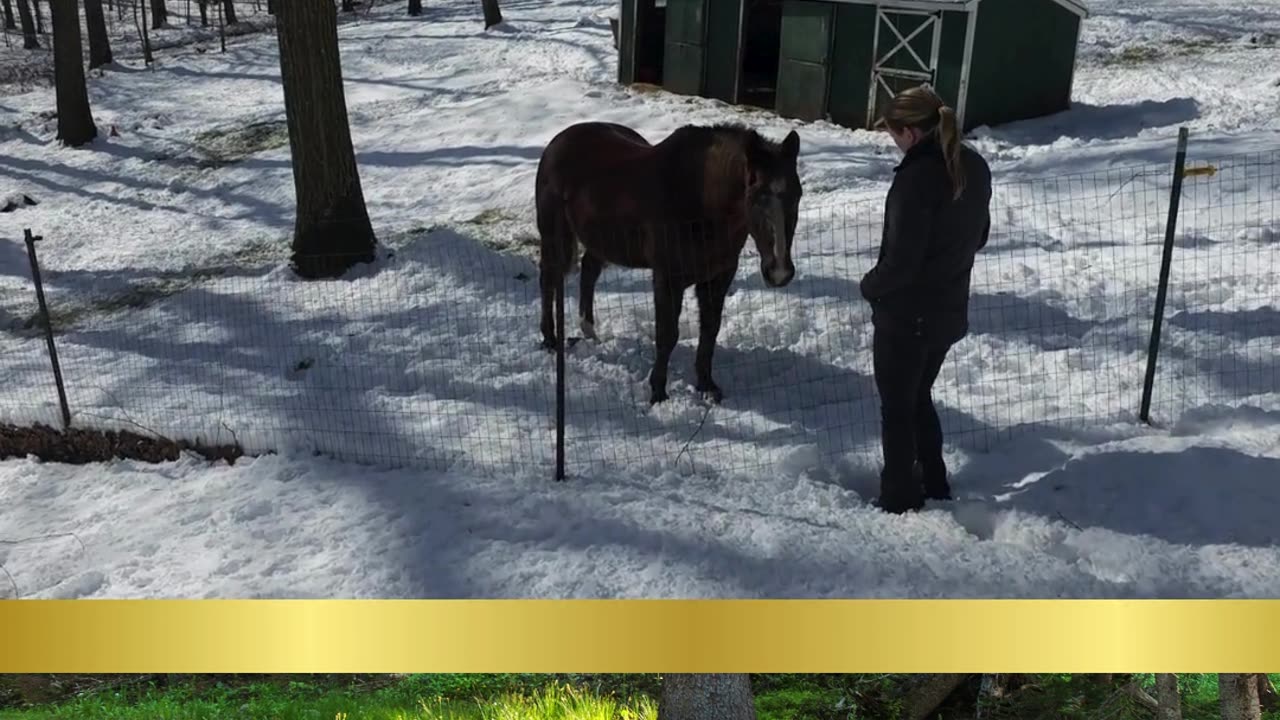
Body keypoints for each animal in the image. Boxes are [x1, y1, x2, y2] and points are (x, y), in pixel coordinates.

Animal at [535, 121, 803, 404]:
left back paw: (589, 332)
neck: (700, 200)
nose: (779, 272)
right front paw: (658, 392)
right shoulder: (668, 278)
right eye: (756, 196)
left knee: (588, 271)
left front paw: (707, 386)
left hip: (600, 240)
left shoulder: (718, 277)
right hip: (555, 236)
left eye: (797, 195)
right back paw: (550, 340)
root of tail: (558, 142)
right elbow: (667, 335)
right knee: (549, 278)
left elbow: (710, 330)